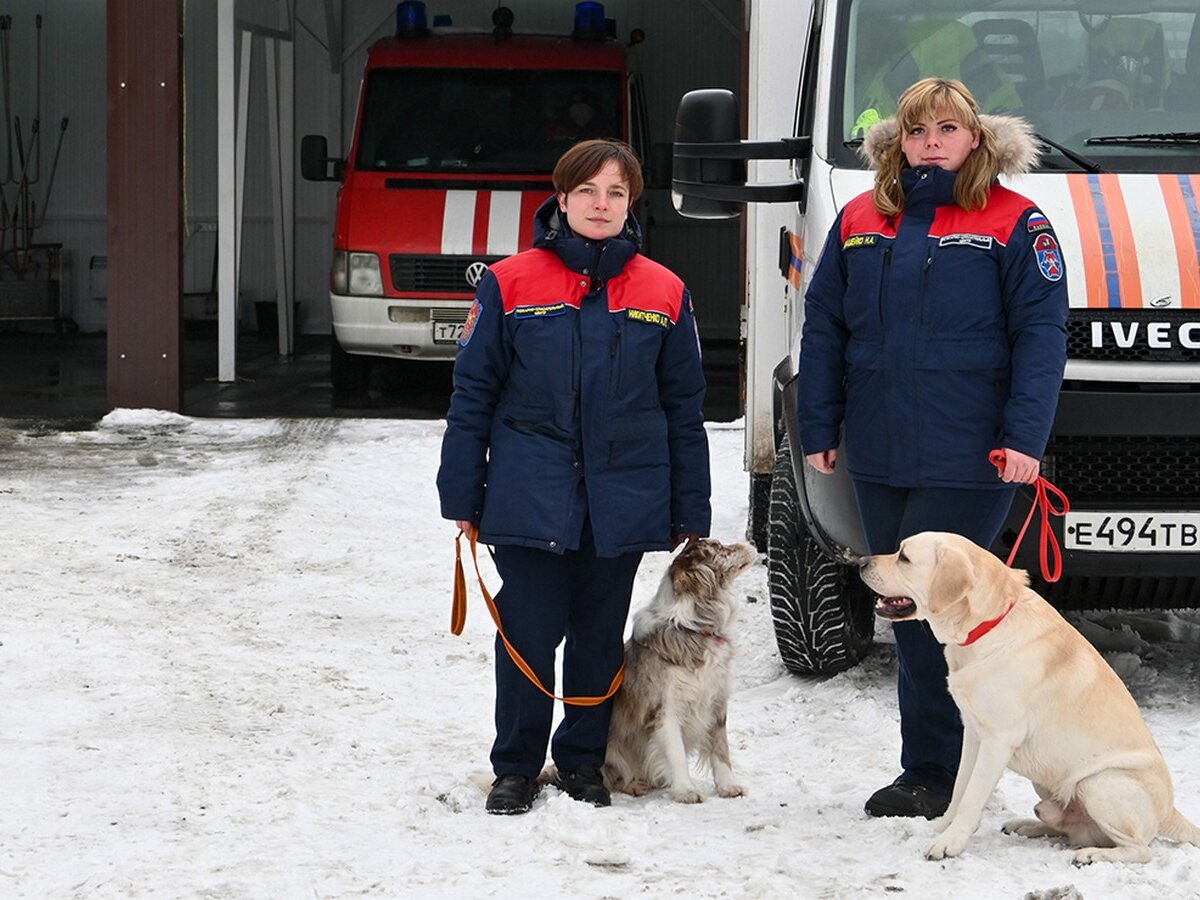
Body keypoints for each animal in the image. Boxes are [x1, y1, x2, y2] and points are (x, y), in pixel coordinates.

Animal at [604, 540, 753, 806]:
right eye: (719, 547)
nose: (751, 542)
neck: (693, 629)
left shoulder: (716, 701)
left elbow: (721, 749)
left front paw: (728, 786)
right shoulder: (664, 709)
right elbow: (676, 754)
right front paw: (686, 791)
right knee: (613, 777)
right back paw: (634, 785)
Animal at [859, 535, 1195, 868]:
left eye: (904, 557)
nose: (860, 562)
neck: (987, 627)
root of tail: (1170, 812)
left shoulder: (998, 741)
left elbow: (972, 797)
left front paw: (949, 843)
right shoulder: (974, 733)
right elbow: (960, 789)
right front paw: (942, 828)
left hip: (1100, 782)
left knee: (1139, 849)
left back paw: (1092, 855)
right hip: (1049, 780)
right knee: (1071, 830)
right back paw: (1027, 825)